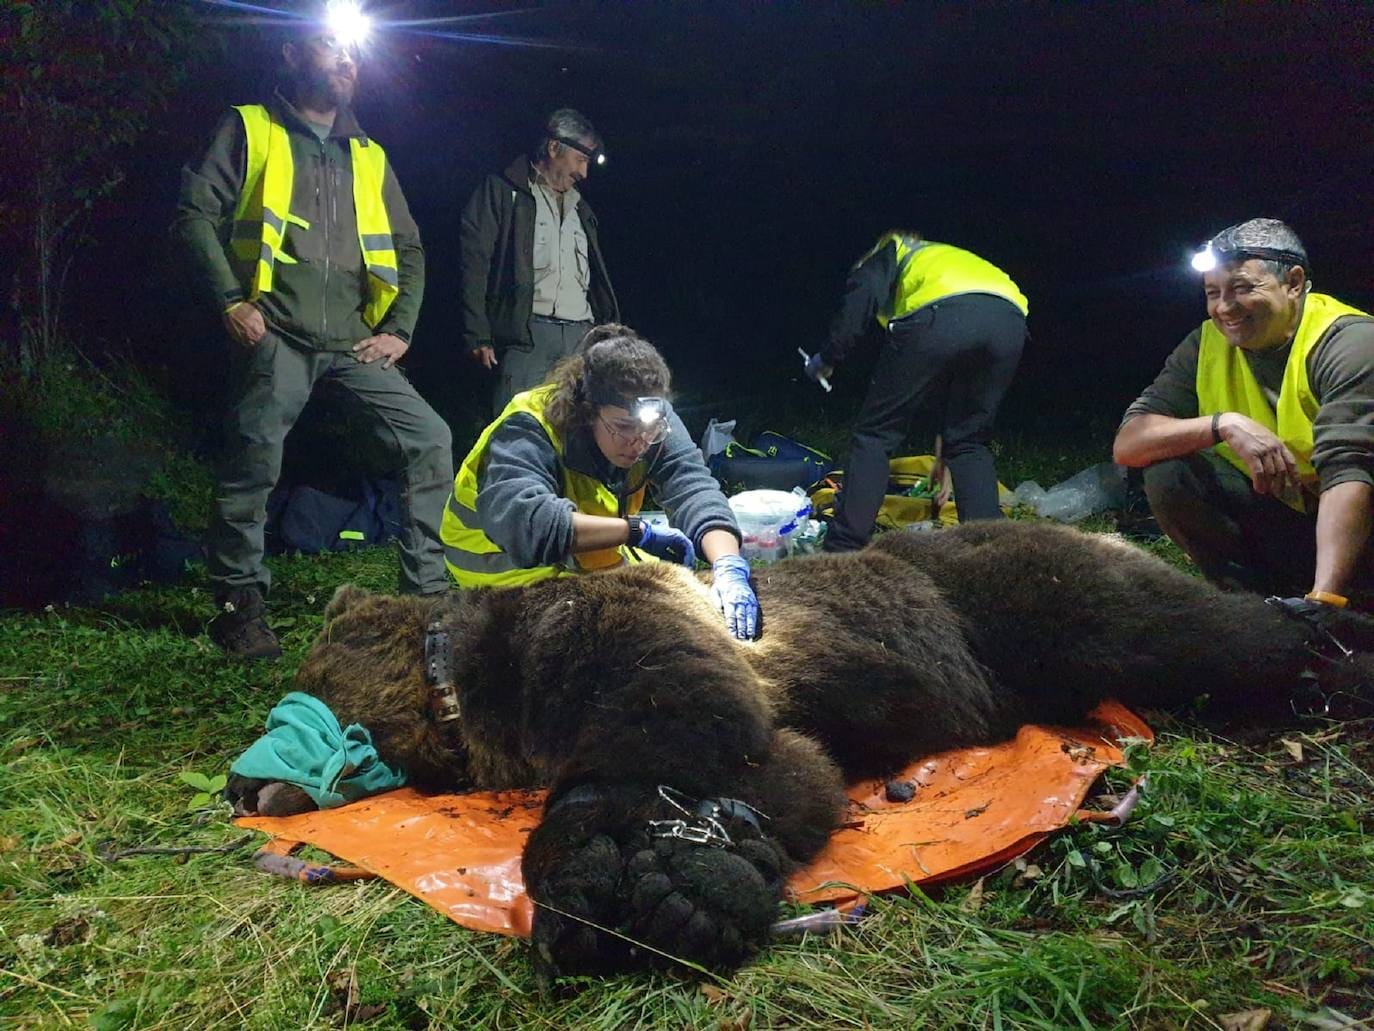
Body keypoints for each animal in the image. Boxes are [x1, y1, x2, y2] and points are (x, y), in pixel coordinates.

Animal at [228, 525, 1374, 984]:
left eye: (300, 703)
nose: (242, 778)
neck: (474, 690)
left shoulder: (621, 636)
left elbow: (691, 727)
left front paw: (641, 878)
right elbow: (786, 774)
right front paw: (678, 878)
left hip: (1027, 593)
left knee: (1193, 627)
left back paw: (1325, 643)